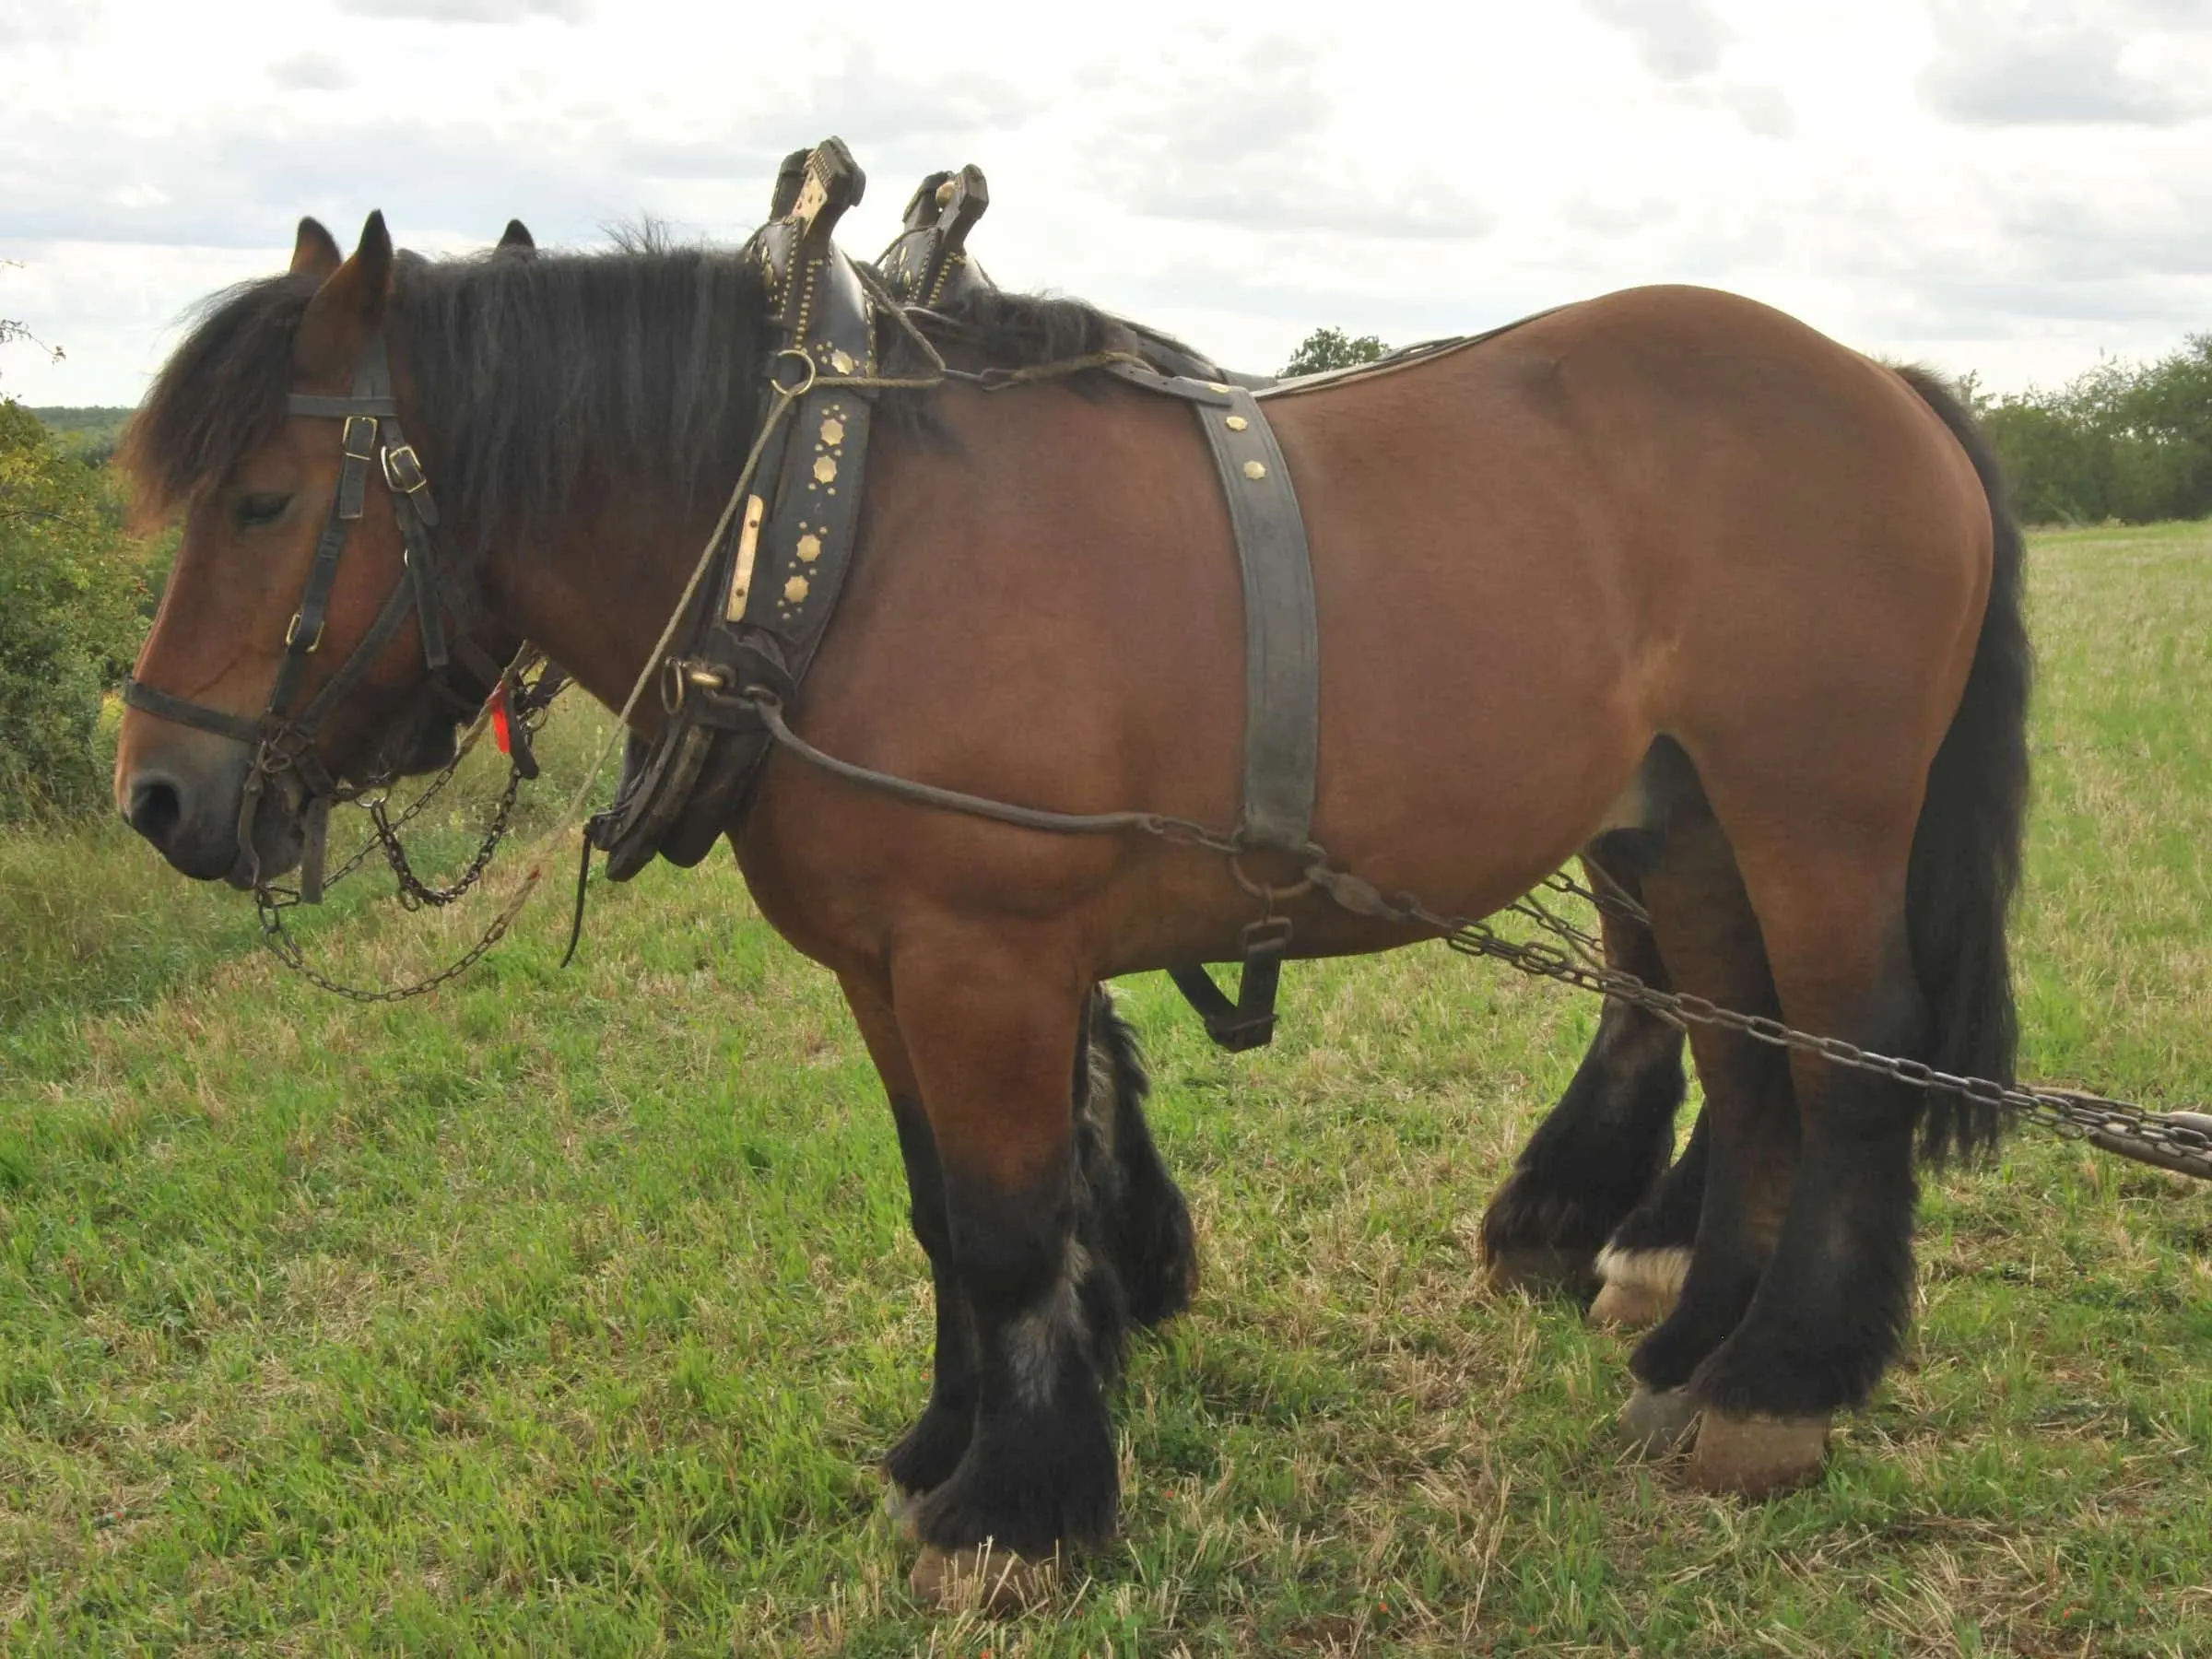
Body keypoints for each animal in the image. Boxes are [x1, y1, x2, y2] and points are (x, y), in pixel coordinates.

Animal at [116, 214, 2026, 1601]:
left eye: (266, 500)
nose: (157, 794)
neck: (826, 542)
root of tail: (1887, 381)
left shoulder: (991, 959)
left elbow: (1017, 1223)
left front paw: (1020, 1512)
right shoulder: (886, 968)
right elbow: (942, 1215)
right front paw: (945, 1450)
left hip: (1816, 810)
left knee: (1850, 1068)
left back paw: (1778, 1387)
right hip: (1686, 826)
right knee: (1749, 1064)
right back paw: (1697, 1340)